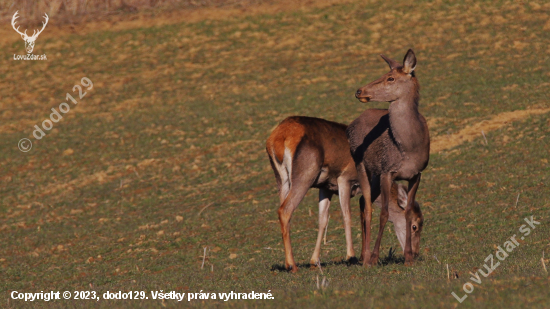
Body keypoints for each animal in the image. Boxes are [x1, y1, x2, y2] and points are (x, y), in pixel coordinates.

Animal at [268, 115, 426, 272]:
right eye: (415, 226)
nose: (416, 253)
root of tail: (278, 139)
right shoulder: (345, 178)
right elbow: (347, 215)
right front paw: (352, 256)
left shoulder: (325, 187)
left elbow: (323, 219)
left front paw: (315, 261)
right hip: (305, 175)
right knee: (285, 210)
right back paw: (292, 265)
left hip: (281, 179)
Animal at [350, 49, 432, 266]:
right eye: (386, 74)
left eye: (391, 78)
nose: (359, 91)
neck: (409, 150)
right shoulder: (388, 170)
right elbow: (385, 213)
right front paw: (375, 257)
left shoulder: (417, 174)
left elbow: (409, 209)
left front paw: (409, 257)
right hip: (361, 165)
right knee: (368, 207)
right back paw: (366, 257)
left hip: (375, 175)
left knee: (363, 202)